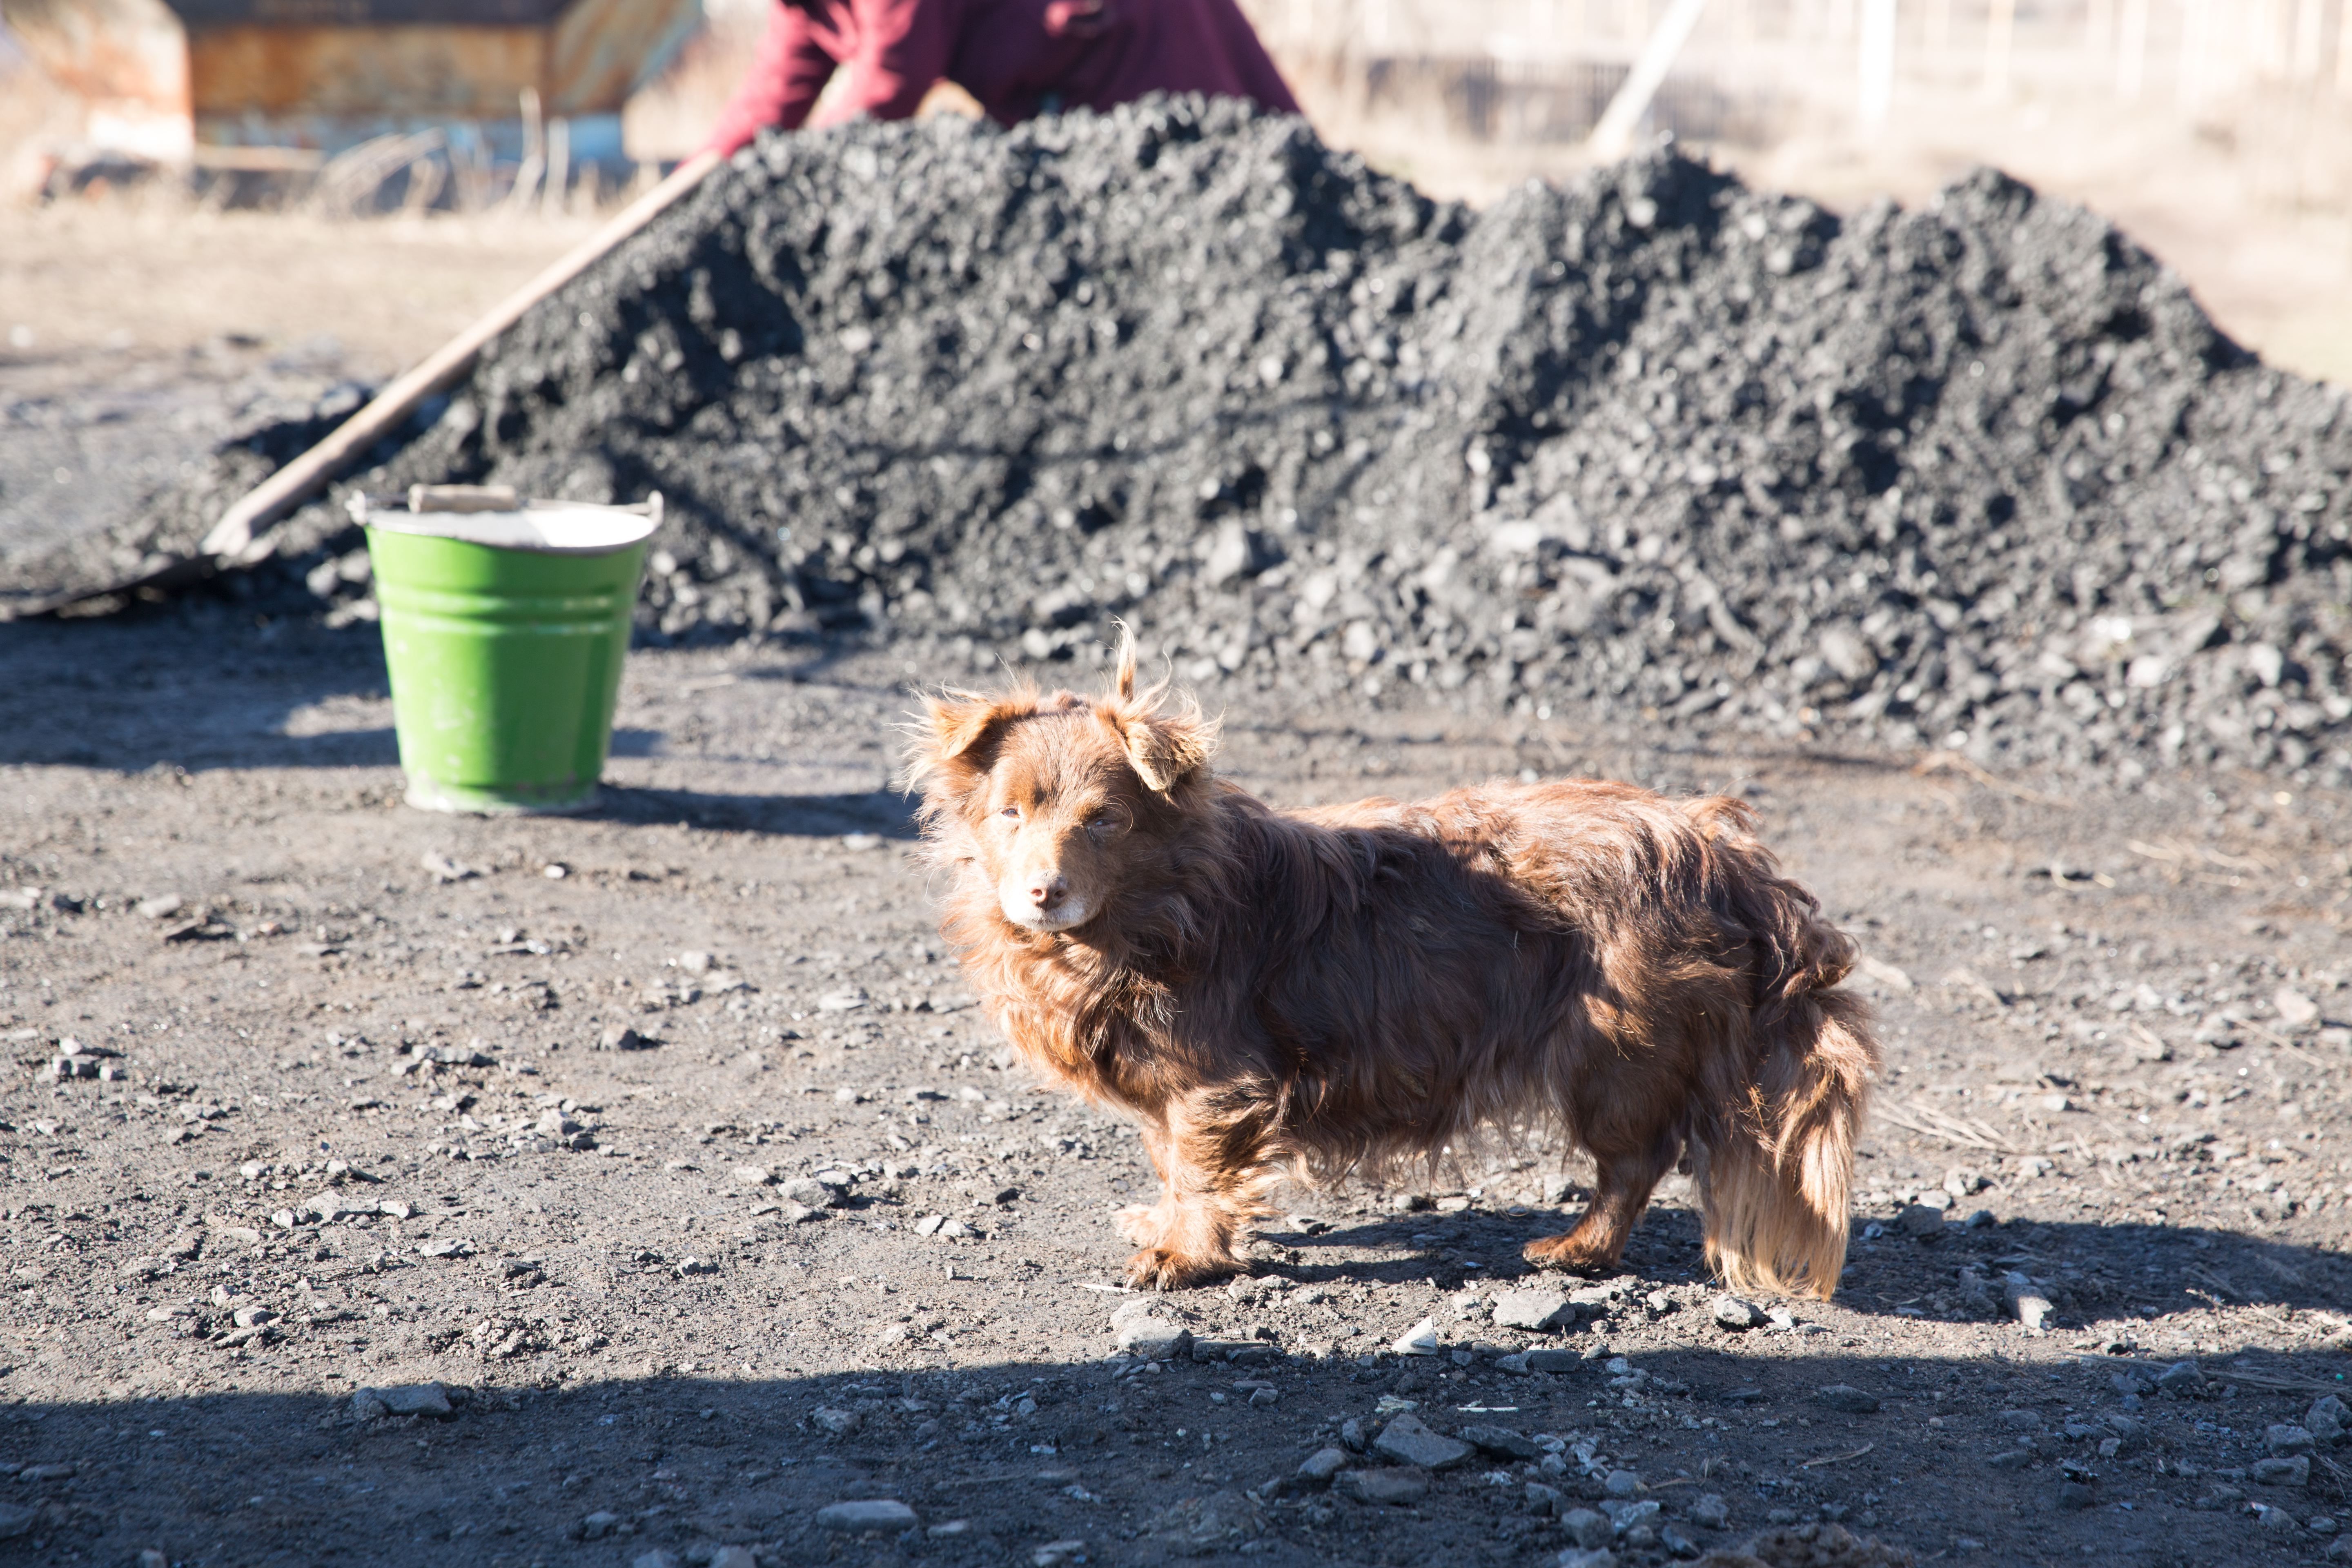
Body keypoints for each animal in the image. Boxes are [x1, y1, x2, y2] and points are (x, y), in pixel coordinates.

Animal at [898, 639, 1872, 1297]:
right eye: (1010, 813)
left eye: (1105, 820)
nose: (1042, 893)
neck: (1141, 918)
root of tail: (1718, 850)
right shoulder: (1169, 1084)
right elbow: (1170, 1161)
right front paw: (1164, 1222)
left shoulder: (1218, 1079)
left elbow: (1202, 1170)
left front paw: (1186, 1256)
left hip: (1616, 1047)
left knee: (1635, 1160)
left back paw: (1577, 1251)